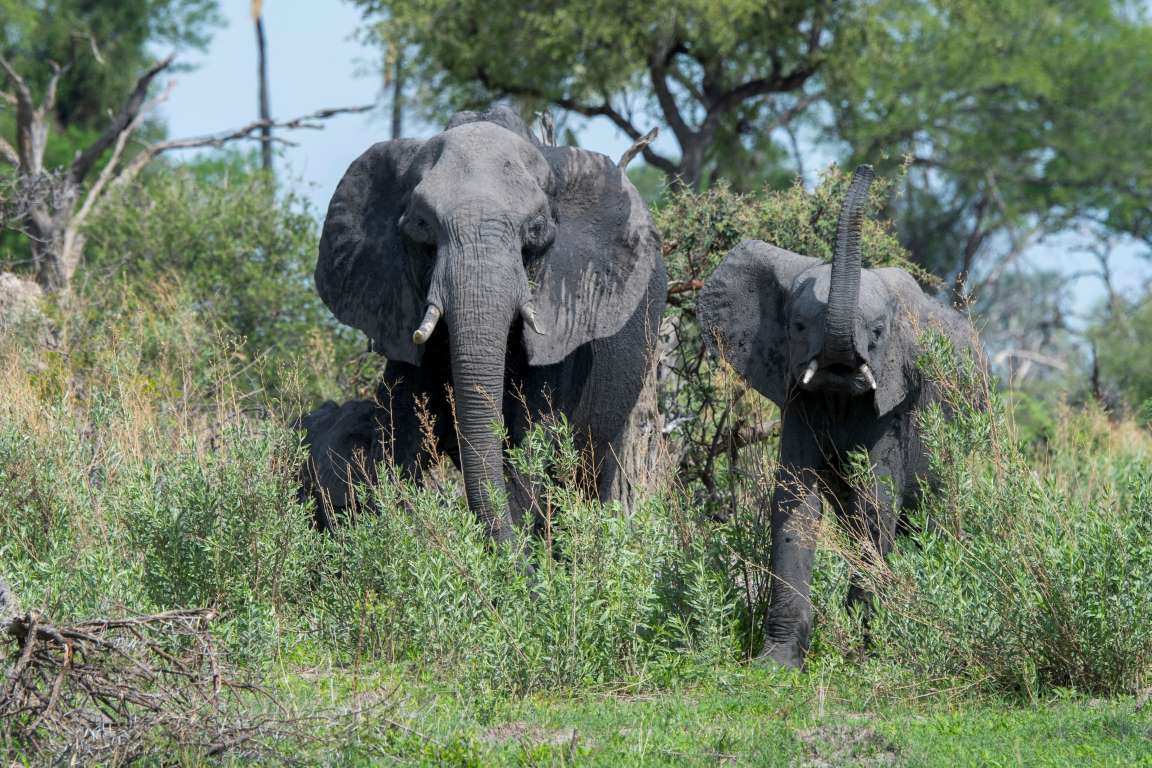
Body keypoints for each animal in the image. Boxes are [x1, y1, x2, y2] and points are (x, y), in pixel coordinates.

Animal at [695, 165, 986, 667]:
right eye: (796, 326)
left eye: (879, 332)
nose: (866, 169)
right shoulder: (797, 396)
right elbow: (794, 503)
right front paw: (777, 664)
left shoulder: (896, 401)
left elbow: (876, 502)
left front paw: (864, 652)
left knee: (935, 516)